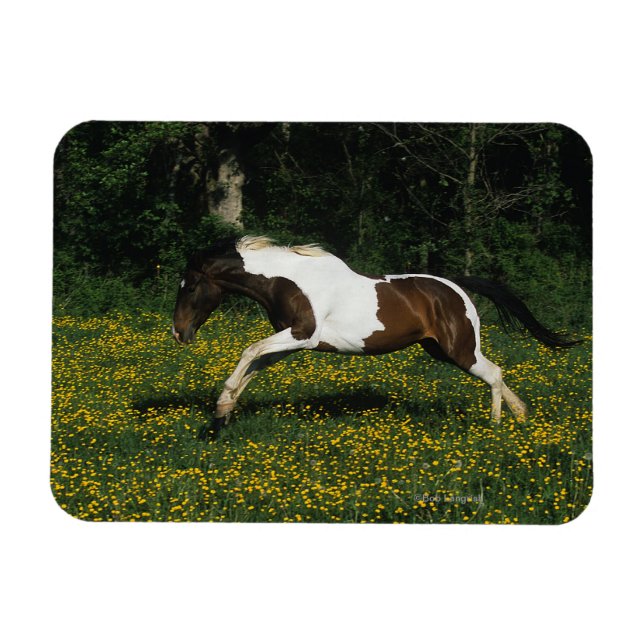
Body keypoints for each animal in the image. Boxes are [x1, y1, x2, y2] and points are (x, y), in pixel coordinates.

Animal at [172, 235, 578, 439]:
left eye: (190, 286)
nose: (179, 333)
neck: (289, 281)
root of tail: (455, 287)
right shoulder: (291, 342)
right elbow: (255, 363)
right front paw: (223, 412)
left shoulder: (302, 335)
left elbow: (249, 351)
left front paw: (221, 408)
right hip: (440, 350)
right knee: (497, 374)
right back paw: (522, 416)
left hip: (459, 350)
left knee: (493, 374)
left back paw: (495, 427)